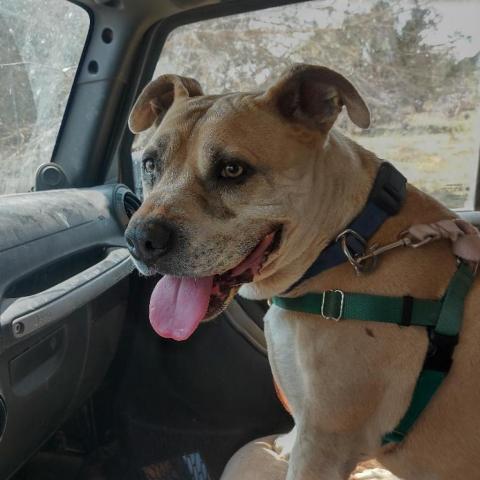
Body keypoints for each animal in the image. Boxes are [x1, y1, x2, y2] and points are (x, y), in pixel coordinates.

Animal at [124, 64, 480, 480]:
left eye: (232, 169)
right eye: (150, 164)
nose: (140, 239)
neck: (348, 241)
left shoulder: (326, 440)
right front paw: (284, 443)